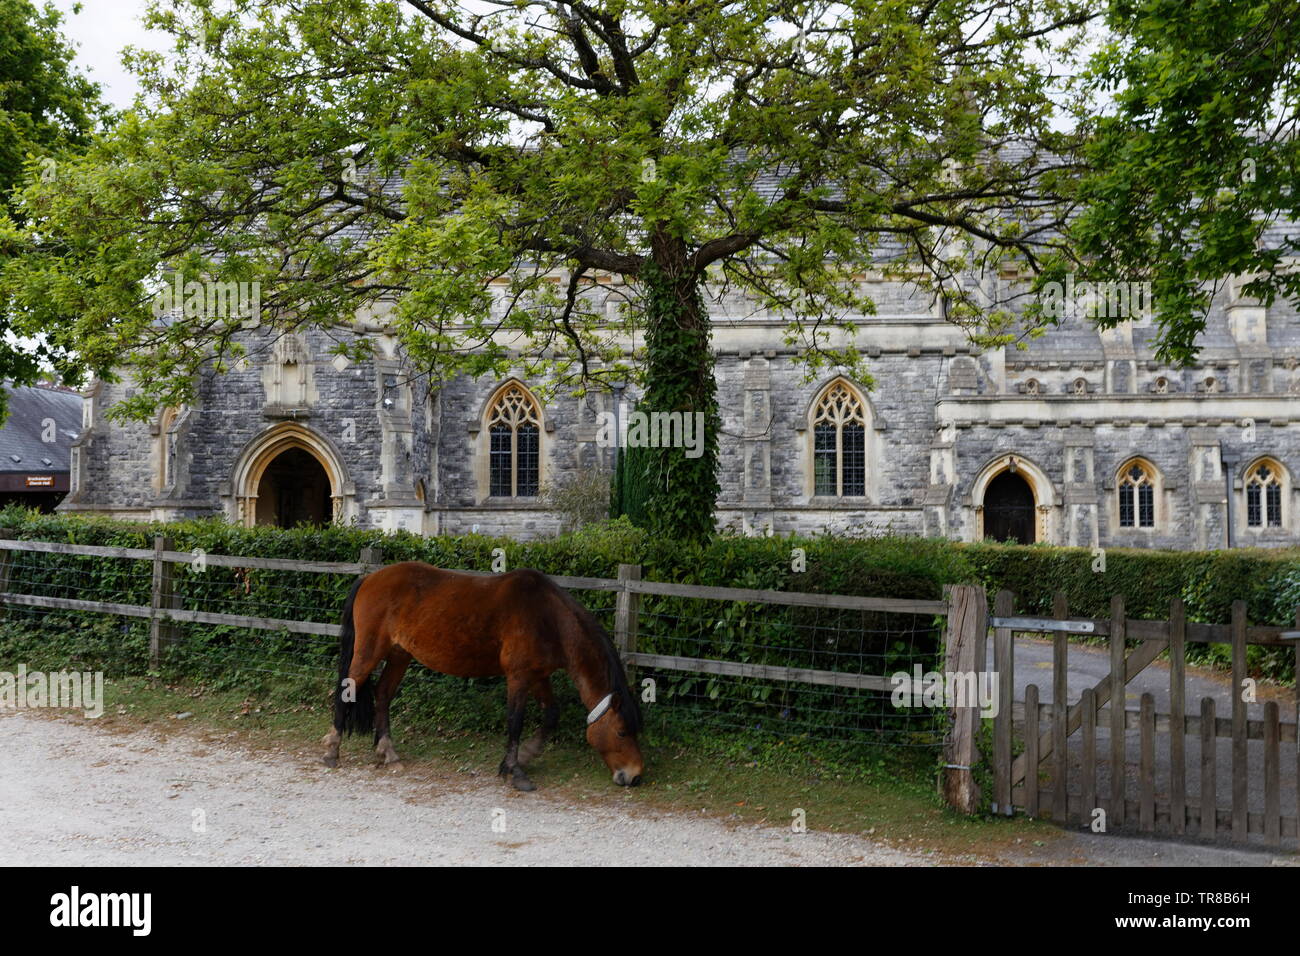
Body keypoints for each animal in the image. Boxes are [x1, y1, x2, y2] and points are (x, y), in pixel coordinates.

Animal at [321, 561, 644, 791]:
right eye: (621, 732)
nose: (635, 776)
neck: (548, 618)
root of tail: (370, 579)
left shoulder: (538, 676)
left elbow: (551, 714)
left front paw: (526, 756)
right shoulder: (519, 677)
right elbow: (515, 722)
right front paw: (514, 771)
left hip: (400, 654)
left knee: (383, 694)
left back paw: (388, 753)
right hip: (370, 650)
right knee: (347, 689)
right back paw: (332, 751)